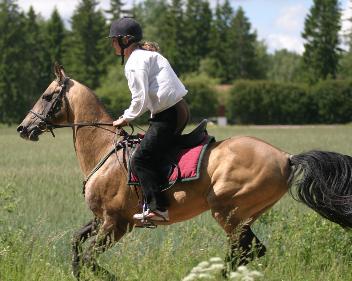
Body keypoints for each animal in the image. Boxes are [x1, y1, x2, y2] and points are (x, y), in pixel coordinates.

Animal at [17, 64, 352, 278]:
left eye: (47, 96)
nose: (23, 128)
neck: (103, 151)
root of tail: (286, 156)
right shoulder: (103, 219)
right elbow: (76, 245)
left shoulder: (116, 223)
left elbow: (88, 258)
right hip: (241, 217)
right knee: (251, 252)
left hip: (228, 213)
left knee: (245, 252)